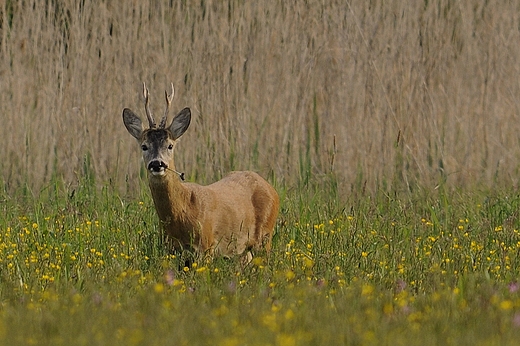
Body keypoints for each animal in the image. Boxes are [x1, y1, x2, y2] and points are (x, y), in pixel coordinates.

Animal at [122, 84, 278, 262]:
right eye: (144, 146)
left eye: (170, 145)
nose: (157, 164)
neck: (184, 209)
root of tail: (270, 188)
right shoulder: (172, 249)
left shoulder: (206, 245)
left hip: (266, 236)